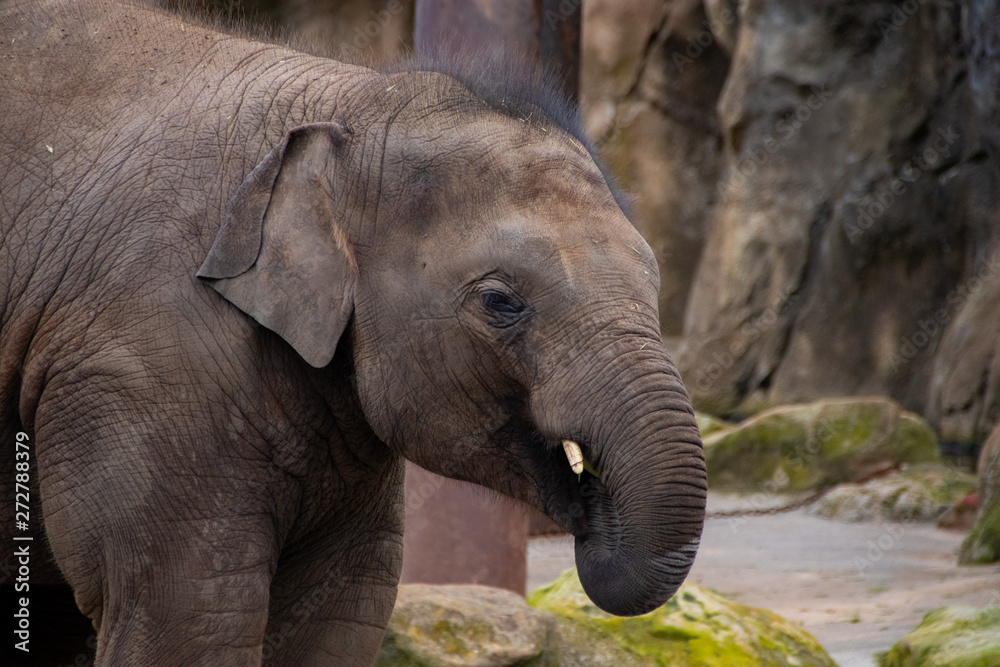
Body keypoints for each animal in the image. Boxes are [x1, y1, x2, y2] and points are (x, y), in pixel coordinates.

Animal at [0, 0, 707, 664]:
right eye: (500, 302)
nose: (590, 497)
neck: (353, 104)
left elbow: (334, 615)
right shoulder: (146, 362)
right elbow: (185, 614)